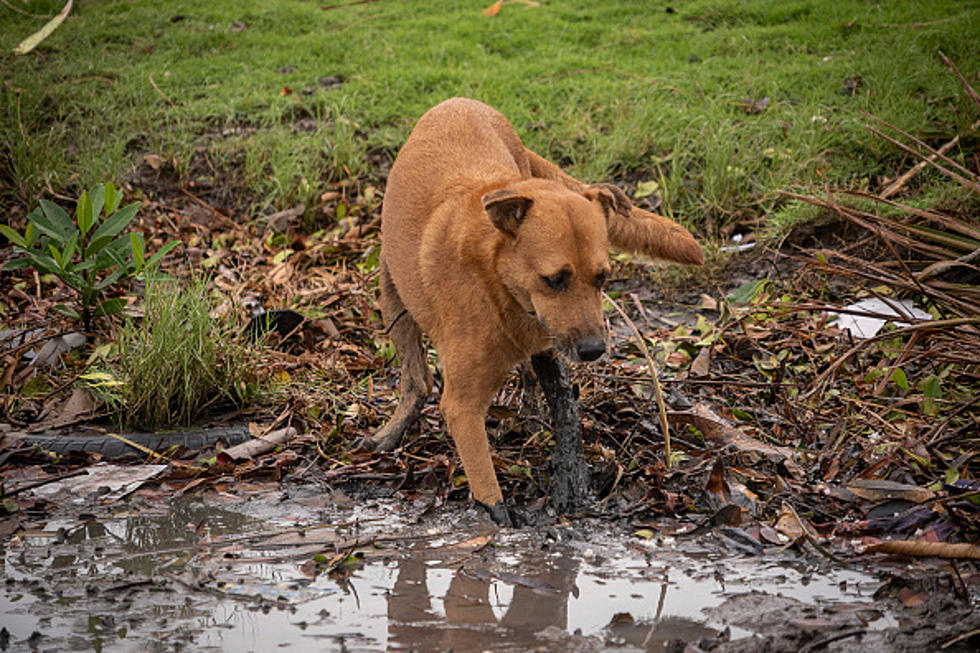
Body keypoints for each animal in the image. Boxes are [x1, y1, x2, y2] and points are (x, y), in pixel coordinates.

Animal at [364, 98, 700, 524]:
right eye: (554, 279)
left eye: (603, 278)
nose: (594, 350)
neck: (498, 285)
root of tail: (459, 101)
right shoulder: (462, 407)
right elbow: (486, 484)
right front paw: (499, 517)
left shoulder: (546, 343)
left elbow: (557, 399)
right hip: (392, 294)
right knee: (417, 380)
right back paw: (392, 431)